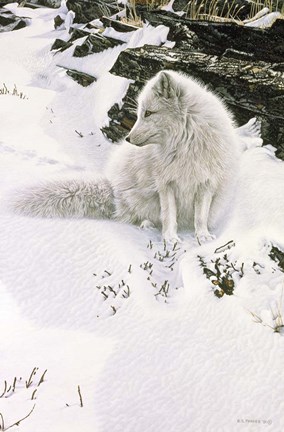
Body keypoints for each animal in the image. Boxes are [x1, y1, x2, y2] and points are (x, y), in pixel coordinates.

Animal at [13, 71, 262, 243]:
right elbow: (169, 214)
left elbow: (200, 216)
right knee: (133, 215)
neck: (184, 144)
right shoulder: (165, 184)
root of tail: (111, 188)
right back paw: (147, 225)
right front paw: (170, 239)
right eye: (141, 113)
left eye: (148, 113)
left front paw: (202, 237)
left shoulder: (206, 184)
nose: (128, 139)